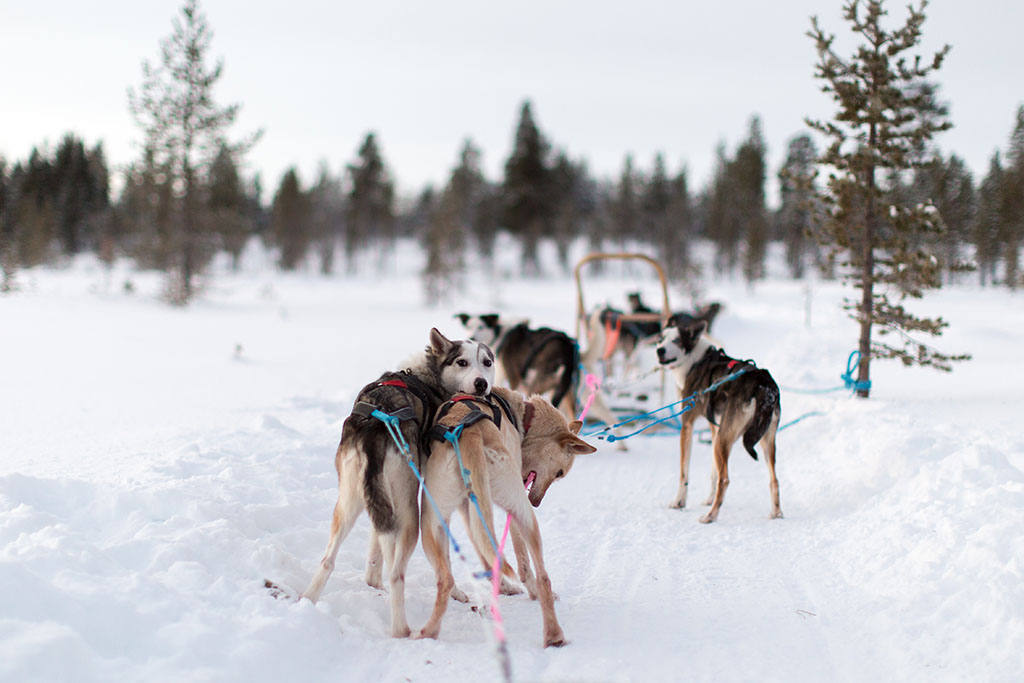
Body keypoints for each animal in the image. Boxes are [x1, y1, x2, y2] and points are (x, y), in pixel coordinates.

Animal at [299, 327, 495, 638]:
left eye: (487, 362)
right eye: (462, 362)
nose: (481, 384)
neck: (428, 375)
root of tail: (374, 425)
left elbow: (376, 546)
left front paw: (372, 579)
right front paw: (457, 593)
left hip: (350, 504)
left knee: (328, 560)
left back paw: (307, 600)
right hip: (409, 514)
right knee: (396, 573)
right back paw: (402, 629)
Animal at [415, 387, 598, 651]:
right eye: (560, 473)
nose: (536, 502)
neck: (521, 417)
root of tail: (469, 434)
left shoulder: (468, 510)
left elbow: (485, 552)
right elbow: (523, 563)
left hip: (430, 522)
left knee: (446, 579)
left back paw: (428, 632)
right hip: (524, 514)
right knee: (543, 577)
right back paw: (553, 634)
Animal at [655, 321, 782, 524]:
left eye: (676, 340)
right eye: (661, 338)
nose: (660, 350)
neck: (695, 360)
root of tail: (763, 384)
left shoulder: (687, 425)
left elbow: (684, 472)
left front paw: (679, 502)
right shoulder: (715, 428)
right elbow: (714, 472)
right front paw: (709, 499)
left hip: (724, 440)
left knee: (726, 479)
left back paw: (710, 516)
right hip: (762, 439)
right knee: (774, 480)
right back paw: (776, 513)